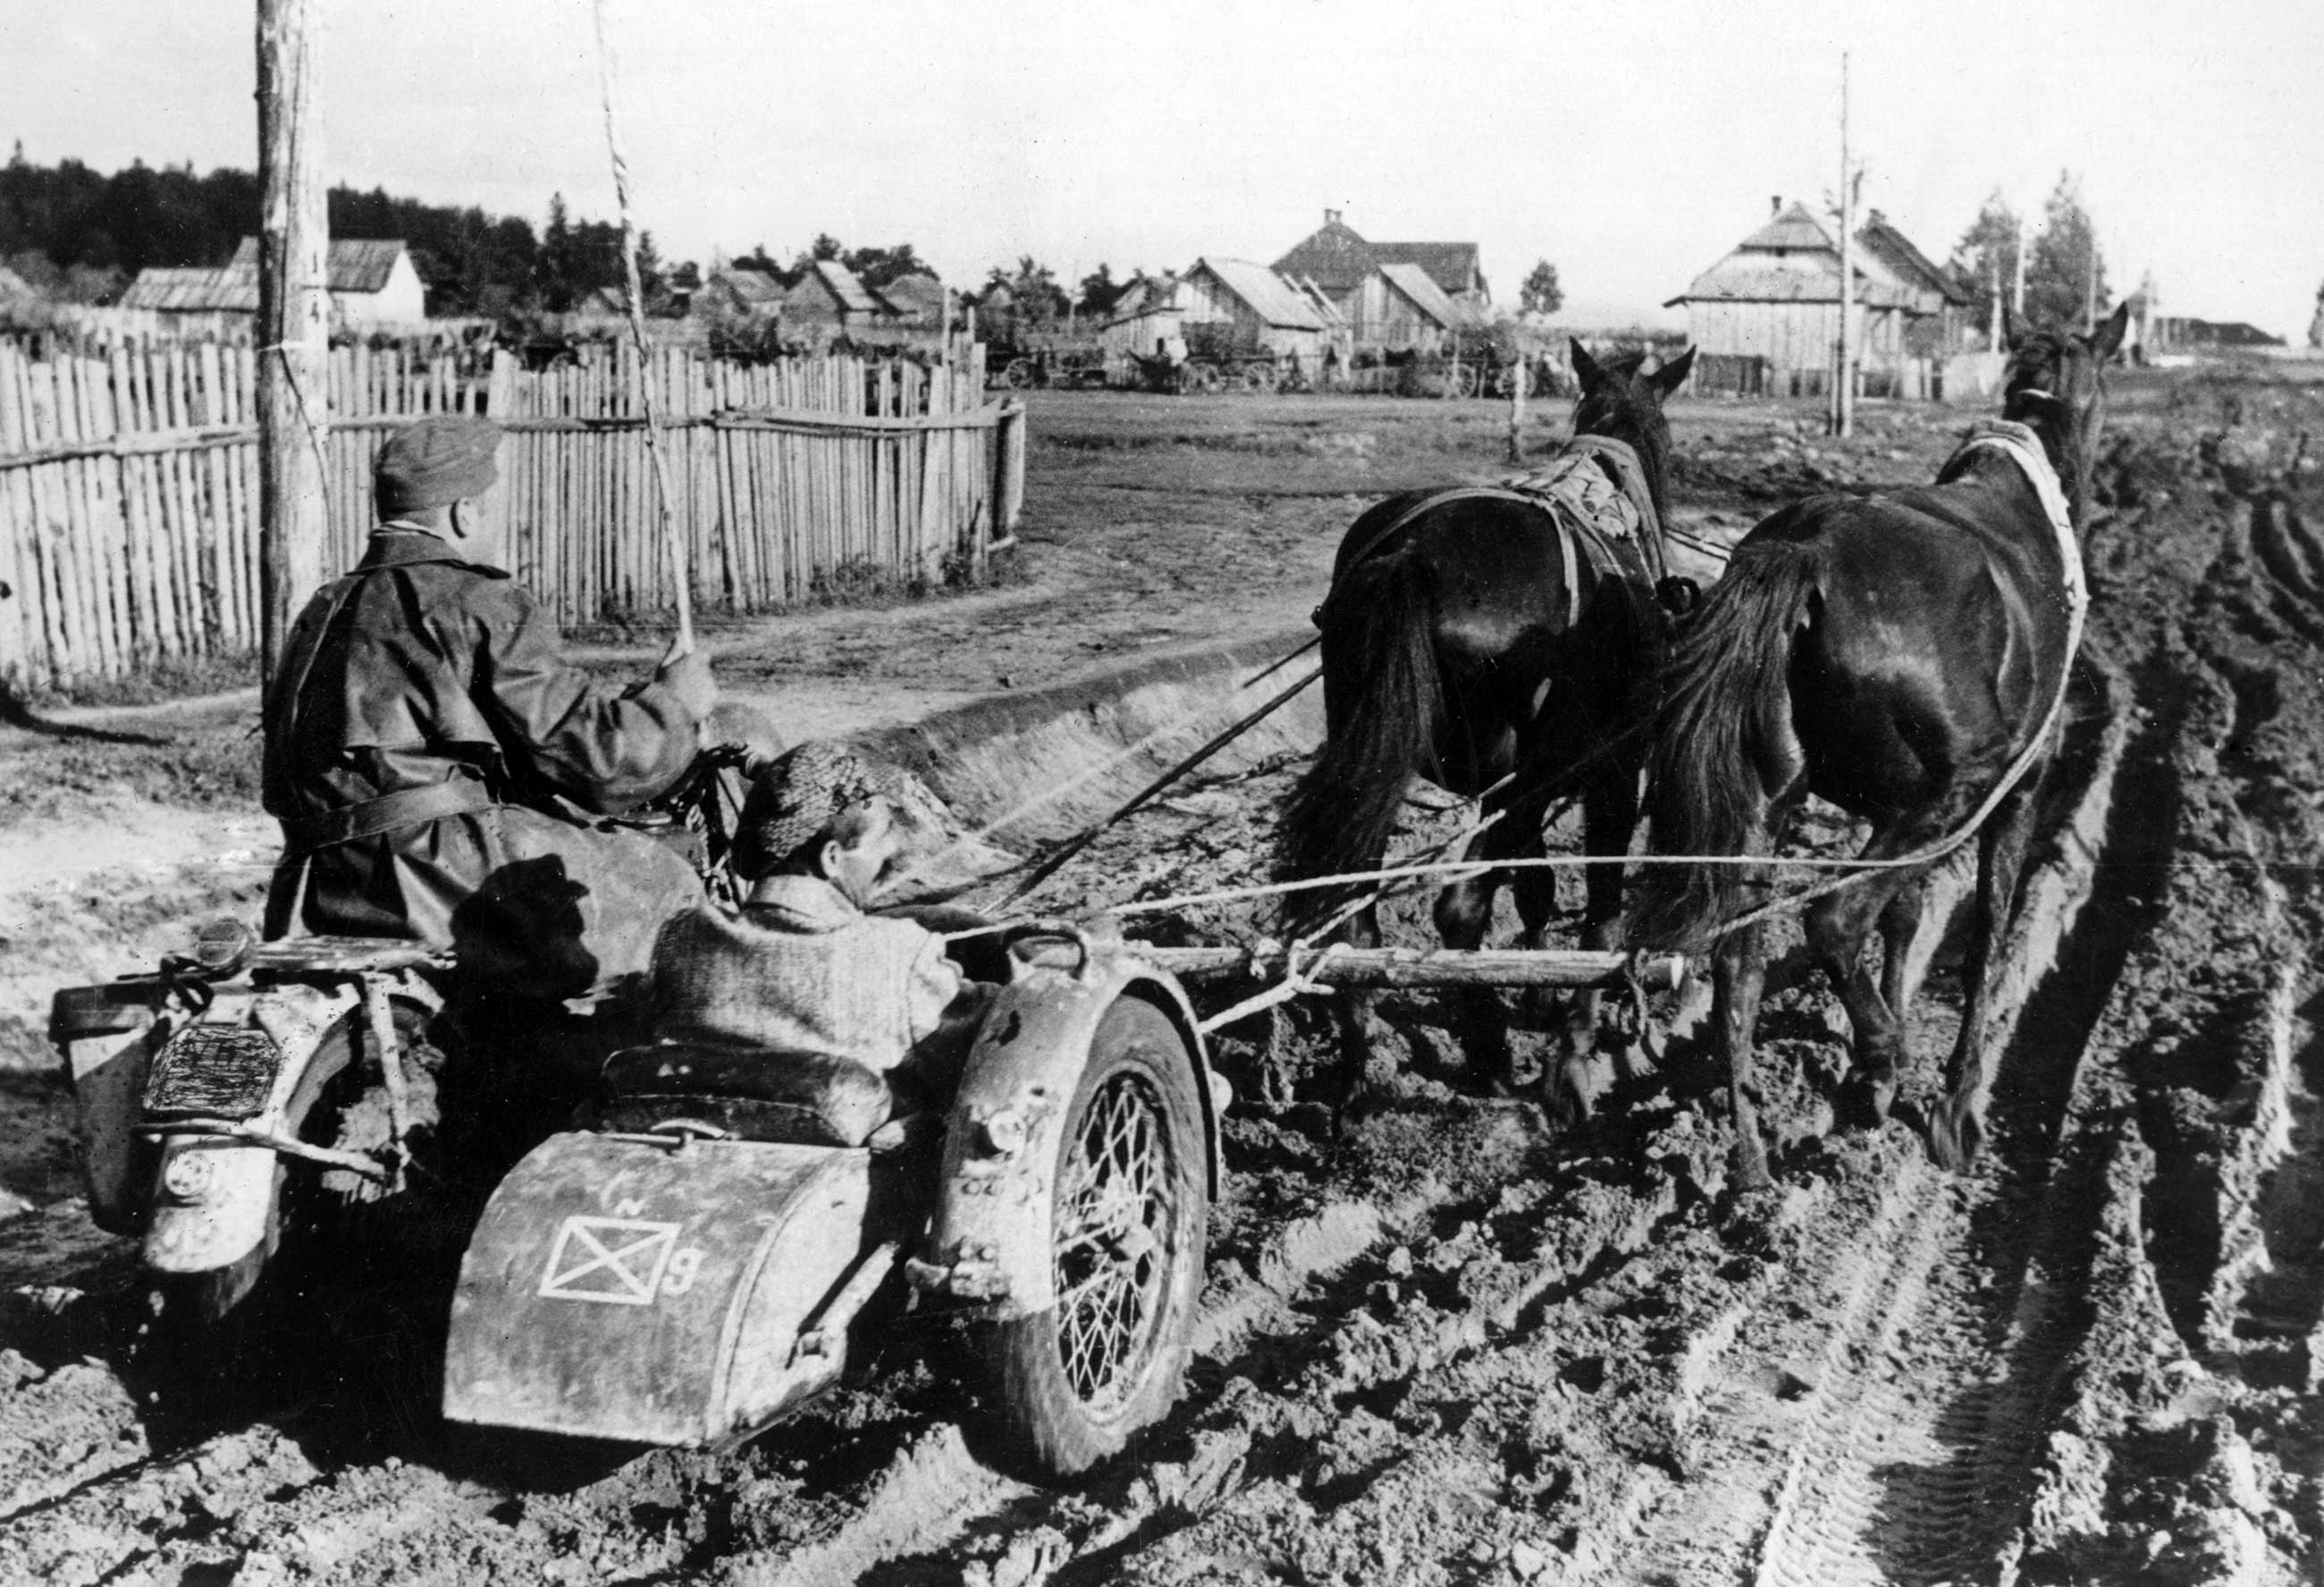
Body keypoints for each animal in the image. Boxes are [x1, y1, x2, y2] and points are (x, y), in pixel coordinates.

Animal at [1283, 341, 1701, 1124]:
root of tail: (1413, 554)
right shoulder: (1612, 769)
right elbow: (1599, 915)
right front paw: (1571, 1060)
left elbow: (1535, 886)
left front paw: (1536, 995)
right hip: (1522, 779)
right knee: (1459, 911)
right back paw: (1488, 1058)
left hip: (1381, 758)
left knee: (1356, 914)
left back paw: (1356, 1075)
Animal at [1626, 304, 2128, 1185]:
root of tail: (1806, 551)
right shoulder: (2013, 794)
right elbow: (1985, 937)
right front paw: (1956, 1109)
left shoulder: (1897, 815)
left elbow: (1906, 916)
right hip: (1944, 797)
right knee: (1830, 919)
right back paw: (1883, 1057)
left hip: (1773, 808)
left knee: (1740, 966)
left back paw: (1753, 1163)